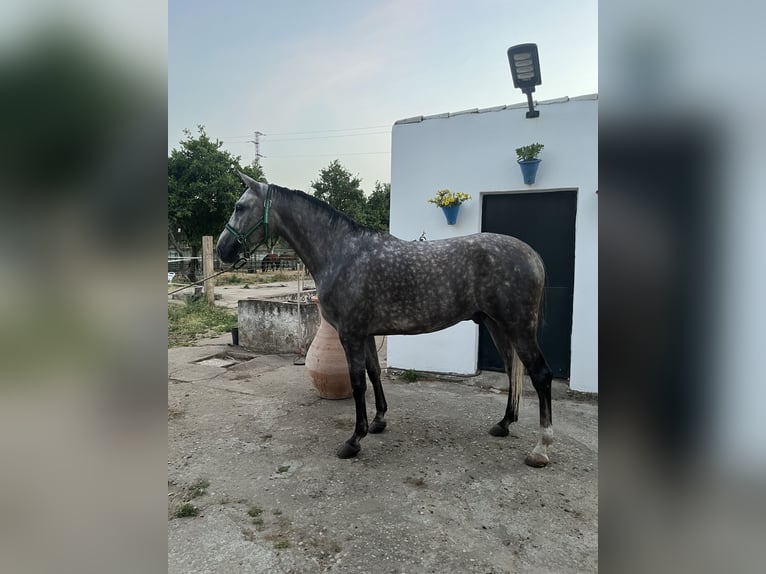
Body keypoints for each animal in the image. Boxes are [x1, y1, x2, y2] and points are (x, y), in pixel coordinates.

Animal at [214, 174, 552, 468]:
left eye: (240, 206)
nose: (222, 249)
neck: (341, 253)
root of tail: (533, 254)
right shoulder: (366, 334)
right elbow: (375, 373)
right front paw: (379, 421)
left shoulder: (350, 334)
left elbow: (357, 382)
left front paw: (354, 439)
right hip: (497, 325)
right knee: (512, 370)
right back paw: (504, 423)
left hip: (519, 327)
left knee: (540, 375)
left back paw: (541, 448)